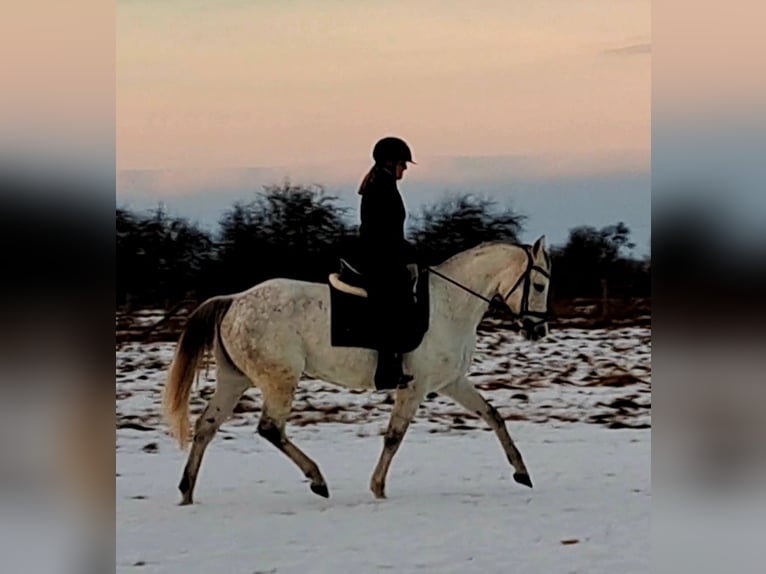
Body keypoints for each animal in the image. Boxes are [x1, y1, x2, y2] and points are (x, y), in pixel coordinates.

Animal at [162, 236, 552, 505]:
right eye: (539, 285)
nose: (538, 330)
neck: (449, 306)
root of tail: (234, 300)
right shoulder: (414, 387)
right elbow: (394, 436)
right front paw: (378, 487)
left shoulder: (451, 382)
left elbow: (493, 416)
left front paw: (522, 473)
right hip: (280, 380)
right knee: (270, 429)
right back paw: (317, 480)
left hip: (234, 380)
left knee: (206, 427)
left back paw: (186, 491)